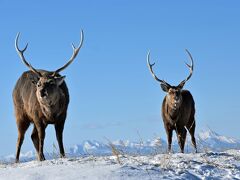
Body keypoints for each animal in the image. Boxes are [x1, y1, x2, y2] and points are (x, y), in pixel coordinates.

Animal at [13, 30, 84, 162]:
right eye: (39, 84)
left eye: (51, 83)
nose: (41, 92)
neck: (51, 113)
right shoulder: (37, 117)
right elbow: (42, 136)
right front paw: (41, 157)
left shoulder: (63, 115)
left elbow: (59, 136)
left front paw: (62, 155)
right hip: (19, 113)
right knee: (21, 137)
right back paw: (17, 160)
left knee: (32, 135)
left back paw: (42, 157)